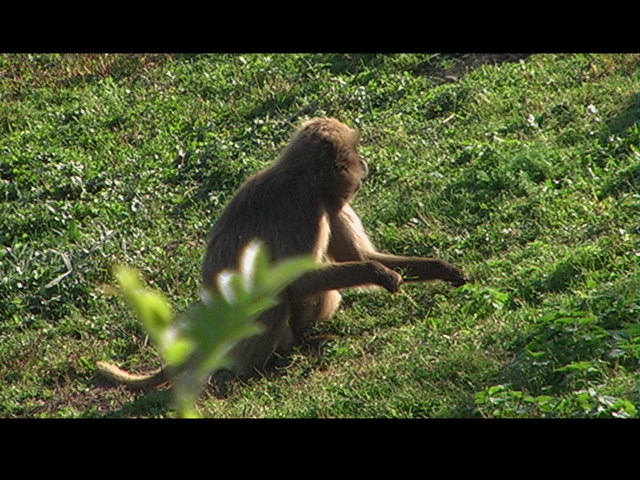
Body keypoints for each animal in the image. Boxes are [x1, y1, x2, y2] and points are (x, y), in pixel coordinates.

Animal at [97, 117, 467, 389]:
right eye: (354, 153)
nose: (364, 163)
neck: (306, 179)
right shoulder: (307, 209)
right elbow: (299, 279)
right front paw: (382, 275)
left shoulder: (329, 205)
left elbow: (361, 256)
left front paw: (442, 268)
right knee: (270, 295)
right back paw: (269, 362)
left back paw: (304, 341)